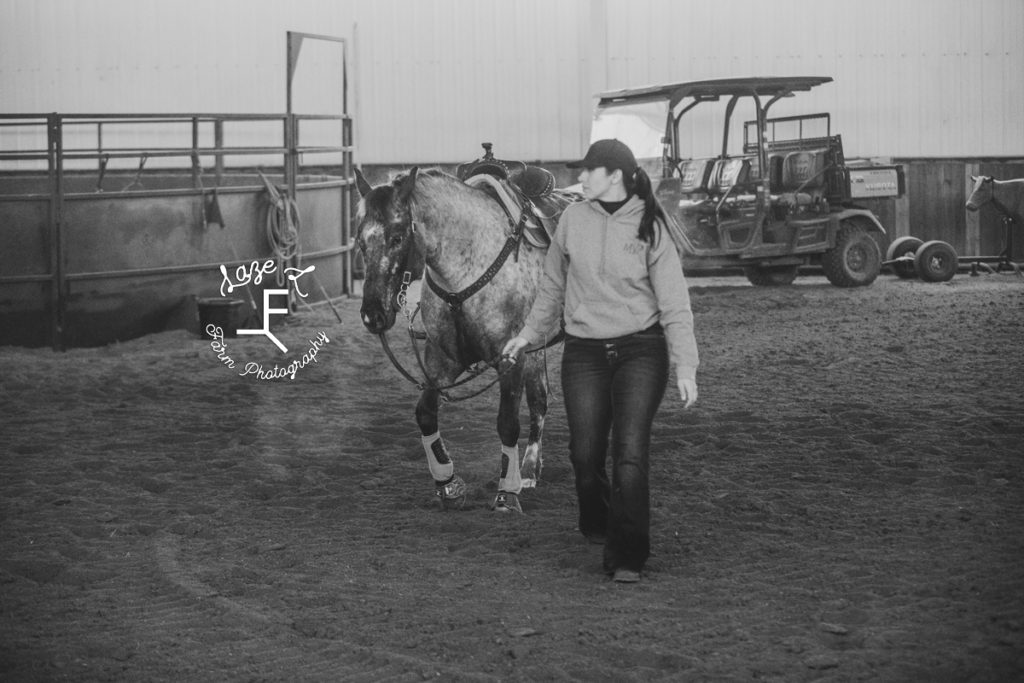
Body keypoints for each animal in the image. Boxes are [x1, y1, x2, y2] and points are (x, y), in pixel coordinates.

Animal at [356, 165, 573, 511]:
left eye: (397, 237)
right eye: (361, 242)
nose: (372, 314)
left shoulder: (510, 359)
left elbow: (507, 423)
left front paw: (507, 493)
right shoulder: (443, 360)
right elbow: (425, 414)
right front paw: (448, 482)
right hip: (536, 351)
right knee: (539, 401)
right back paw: (529, 469)